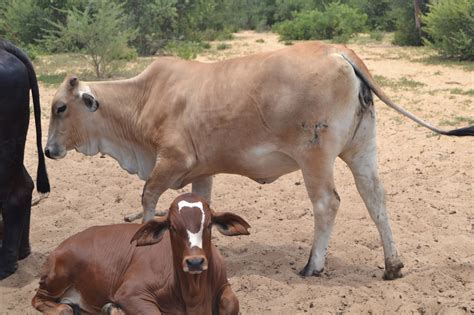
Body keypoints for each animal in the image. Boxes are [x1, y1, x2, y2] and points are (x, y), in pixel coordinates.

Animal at [31, 194, 250, 314]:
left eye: (209, 224)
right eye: (172, 227)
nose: (195, 262)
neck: (193, 296)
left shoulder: (224, 285)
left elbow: (231, 303)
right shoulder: (131, 293)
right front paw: (113, 309)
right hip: (57, 278)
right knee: (49, 302)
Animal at [43, 42, 470, 282]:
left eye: (61, 107)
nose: (47, 150)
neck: (145, 98)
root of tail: (339, 50)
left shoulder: (172, 161)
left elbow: (148, 200)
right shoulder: (203, 172)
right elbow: (197, 208)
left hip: (315, 156)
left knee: (327, 204)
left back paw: (312, 266)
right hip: (361, 149)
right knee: (376, 199)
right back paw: (392, 265)